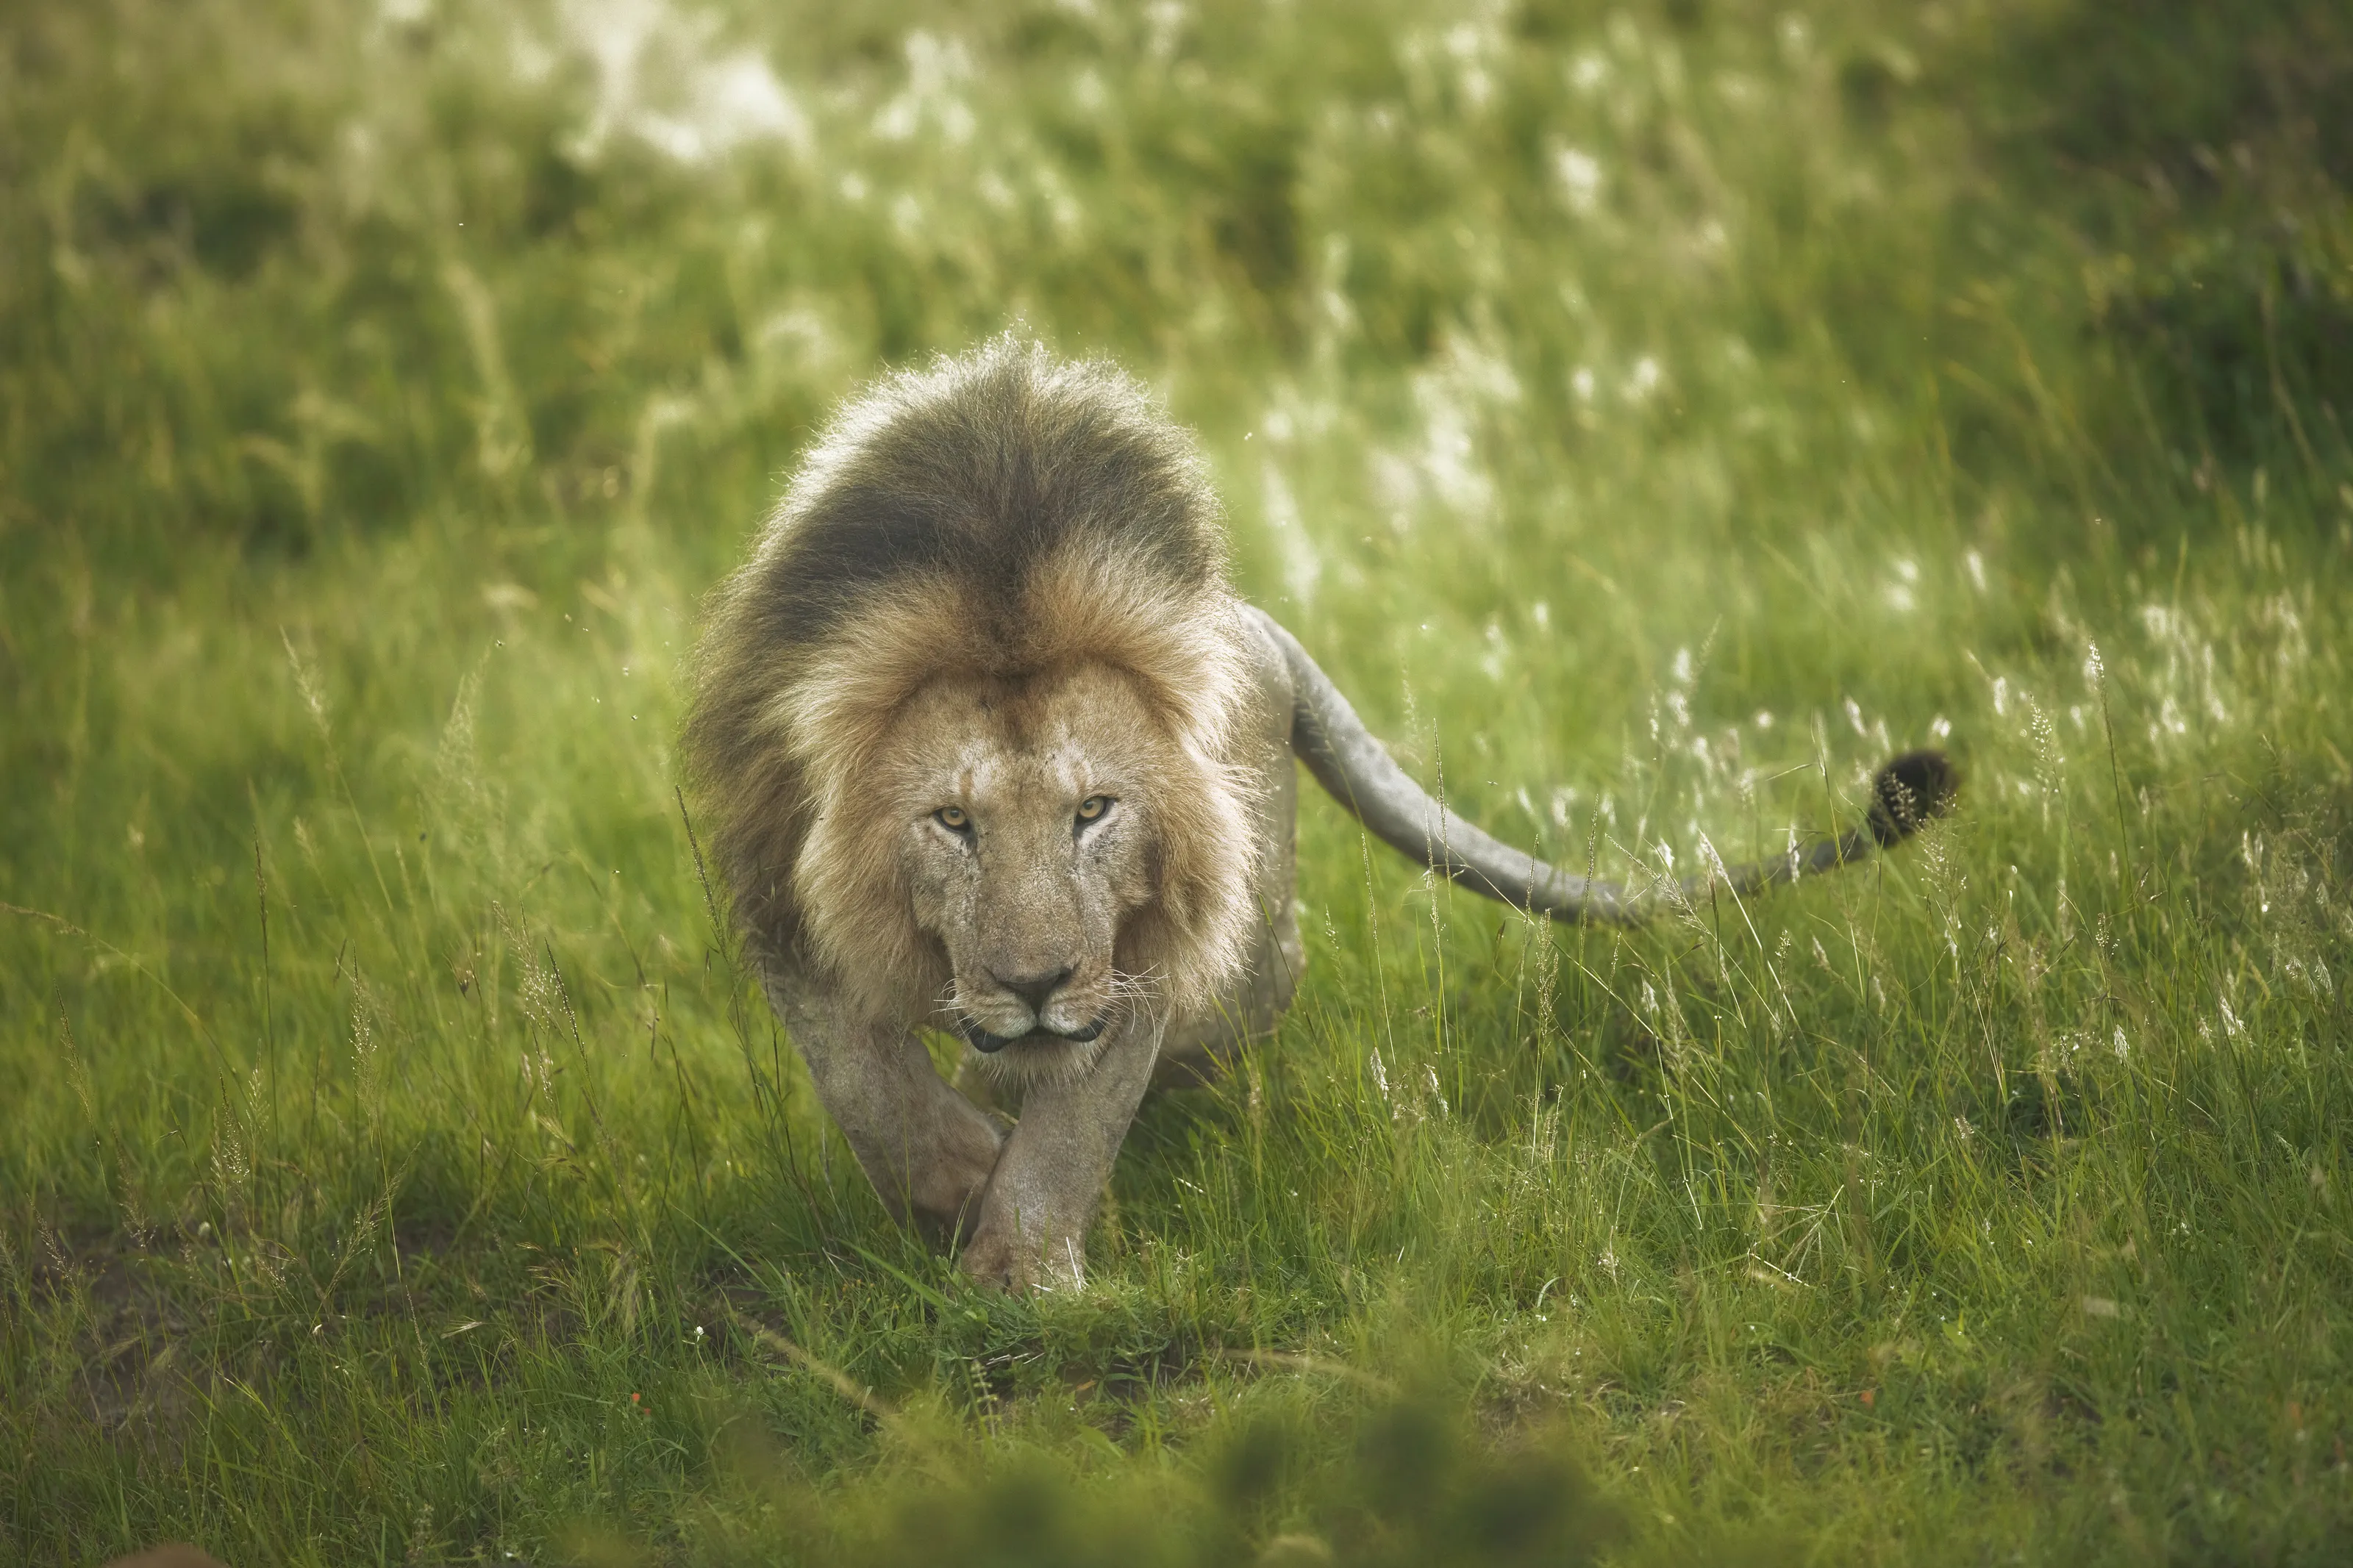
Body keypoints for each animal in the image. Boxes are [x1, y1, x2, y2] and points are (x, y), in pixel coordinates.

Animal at [685, 336, 1954, 1290]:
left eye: (1094, 811)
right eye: (952, 822)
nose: (1036, 984)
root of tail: (1257, 629)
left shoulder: (1143, 942)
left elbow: (1073, 1128)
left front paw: (1022, 1269)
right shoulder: (778, 888)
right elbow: (864, 1079)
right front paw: (959, 1173)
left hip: (1248, 959)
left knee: (1237, 1006)